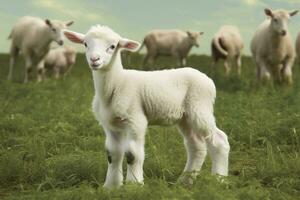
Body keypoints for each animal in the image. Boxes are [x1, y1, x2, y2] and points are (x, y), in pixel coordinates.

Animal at [62, 24, 229, 188]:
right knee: (196, 145)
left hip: (200, 107)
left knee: (219, 140)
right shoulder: (110, 124)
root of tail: (208, 80)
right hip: (185, 117)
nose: (94, 60)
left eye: (113, 46)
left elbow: (132, 155)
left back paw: (218, 180)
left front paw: (134, 186)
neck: (117, 83)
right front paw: (111, 187)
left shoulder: (136, 120)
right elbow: (112, 154)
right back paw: (185, 181)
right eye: (85, 44)